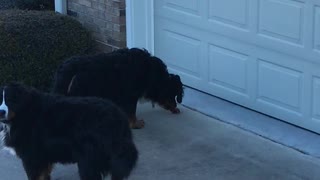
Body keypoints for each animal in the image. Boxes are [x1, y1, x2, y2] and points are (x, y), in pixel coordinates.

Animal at [0, 82, 138, 180]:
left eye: (10, 99)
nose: (1, 111)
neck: (24, 111)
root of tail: (117, 116)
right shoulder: (43, 156)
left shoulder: (31, 157)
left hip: (88, 159)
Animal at [51, 47, 184, 129]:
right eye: (173, 94)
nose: (176, 107)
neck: (153, 74)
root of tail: (68, 68)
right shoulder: (131, 95)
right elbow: (132, 113)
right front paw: (135, 124)